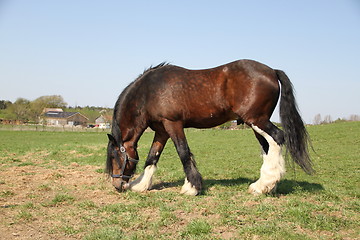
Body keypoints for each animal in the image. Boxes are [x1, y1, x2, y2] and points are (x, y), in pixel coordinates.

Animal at [105, 59, 312, 195]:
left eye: (115, 156)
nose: (116, 186)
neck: (149, 92)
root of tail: (272, 71)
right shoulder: (162, 130)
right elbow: (152, 157)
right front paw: (141, 185)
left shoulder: (173, 124)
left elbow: (183, 153)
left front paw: (192, 187)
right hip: (257, 124)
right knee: (268, 147)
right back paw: (265, 186)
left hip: (257, 120)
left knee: (278, 137)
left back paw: (264, 184)